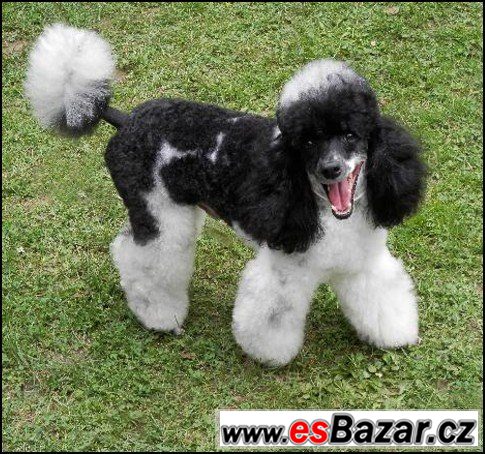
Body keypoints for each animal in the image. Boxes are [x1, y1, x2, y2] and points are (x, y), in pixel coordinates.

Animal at [25, 24, 426, 366]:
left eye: (350, 134)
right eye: (308, 141)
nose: (331, 169)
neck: (326, 209)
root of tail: (124, 120)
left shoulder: (363, 263)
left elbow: (380, 298)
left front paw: (392, 335)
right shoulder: (283, 270)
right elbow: (271, 315)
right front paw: (268, 355)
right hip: (158, 213)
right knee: (141, 259)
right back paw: (160, 317)